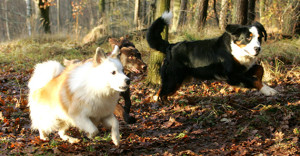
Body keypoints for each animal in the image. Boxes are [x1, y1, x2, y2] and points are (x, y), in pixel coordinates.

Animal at [146, 11, 276, 103]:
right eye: (248, 37)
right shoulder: (232, 76)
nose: (258, 48)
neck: (235, 50)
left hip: (177, 80)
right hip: (174, 78)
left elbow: (259, 69)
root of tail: (171, 46)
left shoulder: (243, 69)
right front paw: (268, 90)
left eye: (259, 37)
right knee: (162, 93)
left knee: (161, 92)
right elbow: (252, 80)